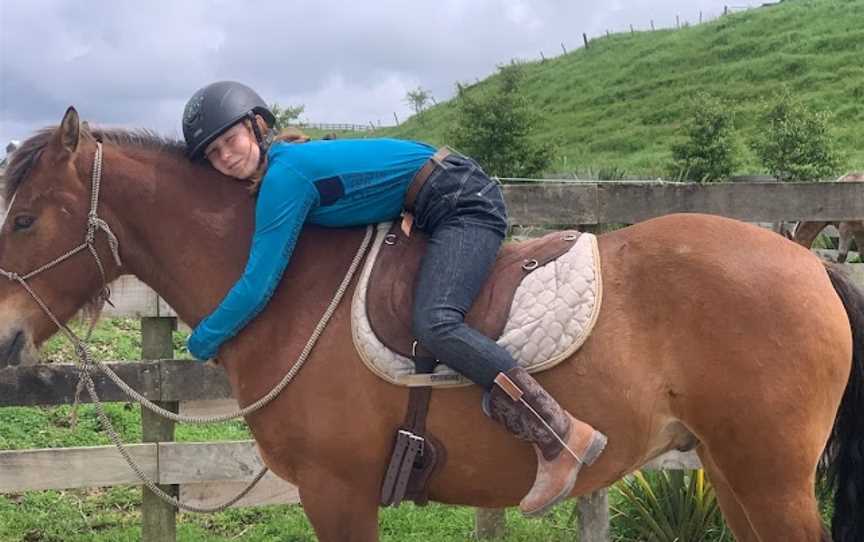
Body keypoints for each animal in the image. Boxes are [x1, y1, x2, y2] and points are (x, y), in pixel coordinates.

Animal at [0, 108, 860, 540]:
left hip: (771, 479)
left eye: (25, 220)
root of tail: (808, 262)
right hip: (731, 470)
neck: (293, 287)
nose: (6, 340)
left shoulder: (337, 492)